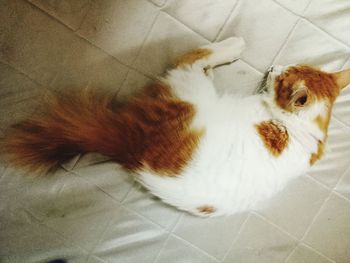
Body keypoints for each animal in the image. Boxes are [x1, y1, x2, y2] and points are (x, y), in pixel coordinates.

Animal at [3, 37, 350, 219]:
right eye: (290, 67)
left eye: (283, 76)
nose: (275, 67)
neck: (302, 128)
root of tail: (129, 145)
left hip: (189, 88)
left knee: (194, 57)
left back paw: (232, 46)